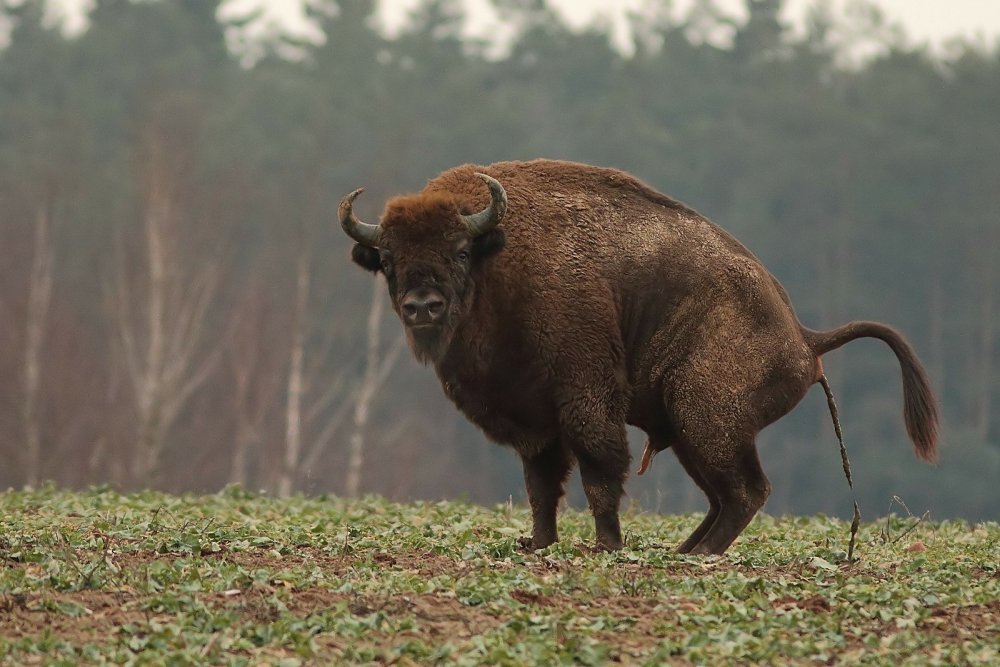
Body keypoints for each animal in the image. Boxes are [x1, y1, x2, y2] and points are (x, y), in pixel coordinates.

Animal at [338, 159, 936, 556]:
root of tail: (804, 337)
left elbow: (600, 473)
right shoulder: (534, 421)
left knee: (746, 491)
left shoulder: (586, 398)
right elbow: (541, 485)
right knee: (723, 496)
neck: (503, 259)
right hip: (692, 434)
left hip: (704, 417)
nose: (422, 306)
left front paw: (606, 545)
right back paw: (684, 551)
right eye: (387, 259)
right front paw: (537, 544)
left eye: (460, 252)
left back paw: (698, 555)